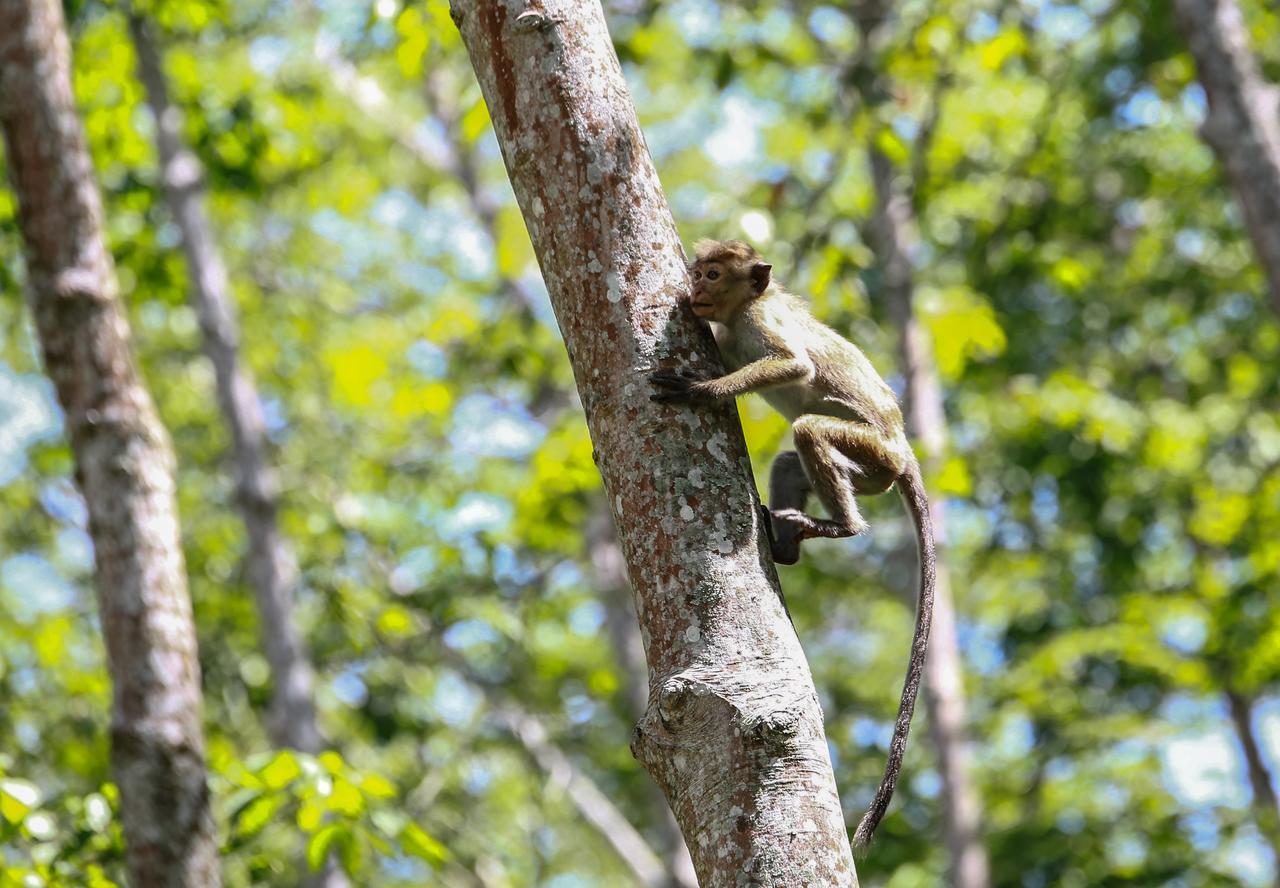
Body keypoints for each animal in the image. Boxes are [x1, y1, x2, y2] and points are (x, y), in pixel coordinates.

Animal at [650, 240, 942, 854]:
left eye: (714, 273)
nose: (695, 286)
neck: (739, 315)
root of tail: (904, 451)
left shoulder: (762, 323)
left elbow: (795, 366)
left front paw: (700, 391)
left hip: (872, 455)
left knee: (808, 429)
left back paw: (842, 528)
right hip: (872, 469)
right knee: (790, 457)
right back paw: (785, 545)